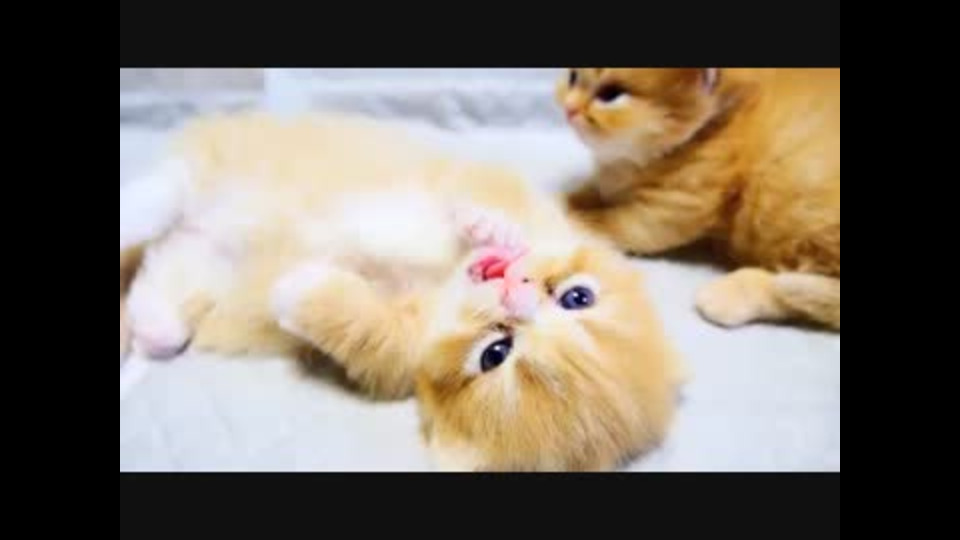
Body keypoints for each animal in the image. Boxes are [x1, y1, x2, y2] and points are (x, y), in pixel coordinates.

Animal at [119, 111, 685, 472]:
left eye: (496, 351)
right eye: (576, 297)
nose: (515, 291)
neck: (443, 281)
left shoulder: (400, 356)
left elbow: (364, 328)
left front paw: (298, 288)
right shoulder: (492, 186)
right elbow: (478, 203)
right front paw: (492, 229)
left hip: (188, 279)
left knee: (154, 307)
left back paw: (137, 357)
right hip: (203, 171)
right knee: (157, 195)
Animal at [556, 68, 840, 331]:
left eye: (611, 93)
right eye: (572, 77)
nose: (569, 108)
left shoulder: (672, 208)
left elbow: (611, 222)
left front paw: (573, 216)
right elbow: (588, 193)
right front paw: (564, 199)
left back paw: (738, 294)